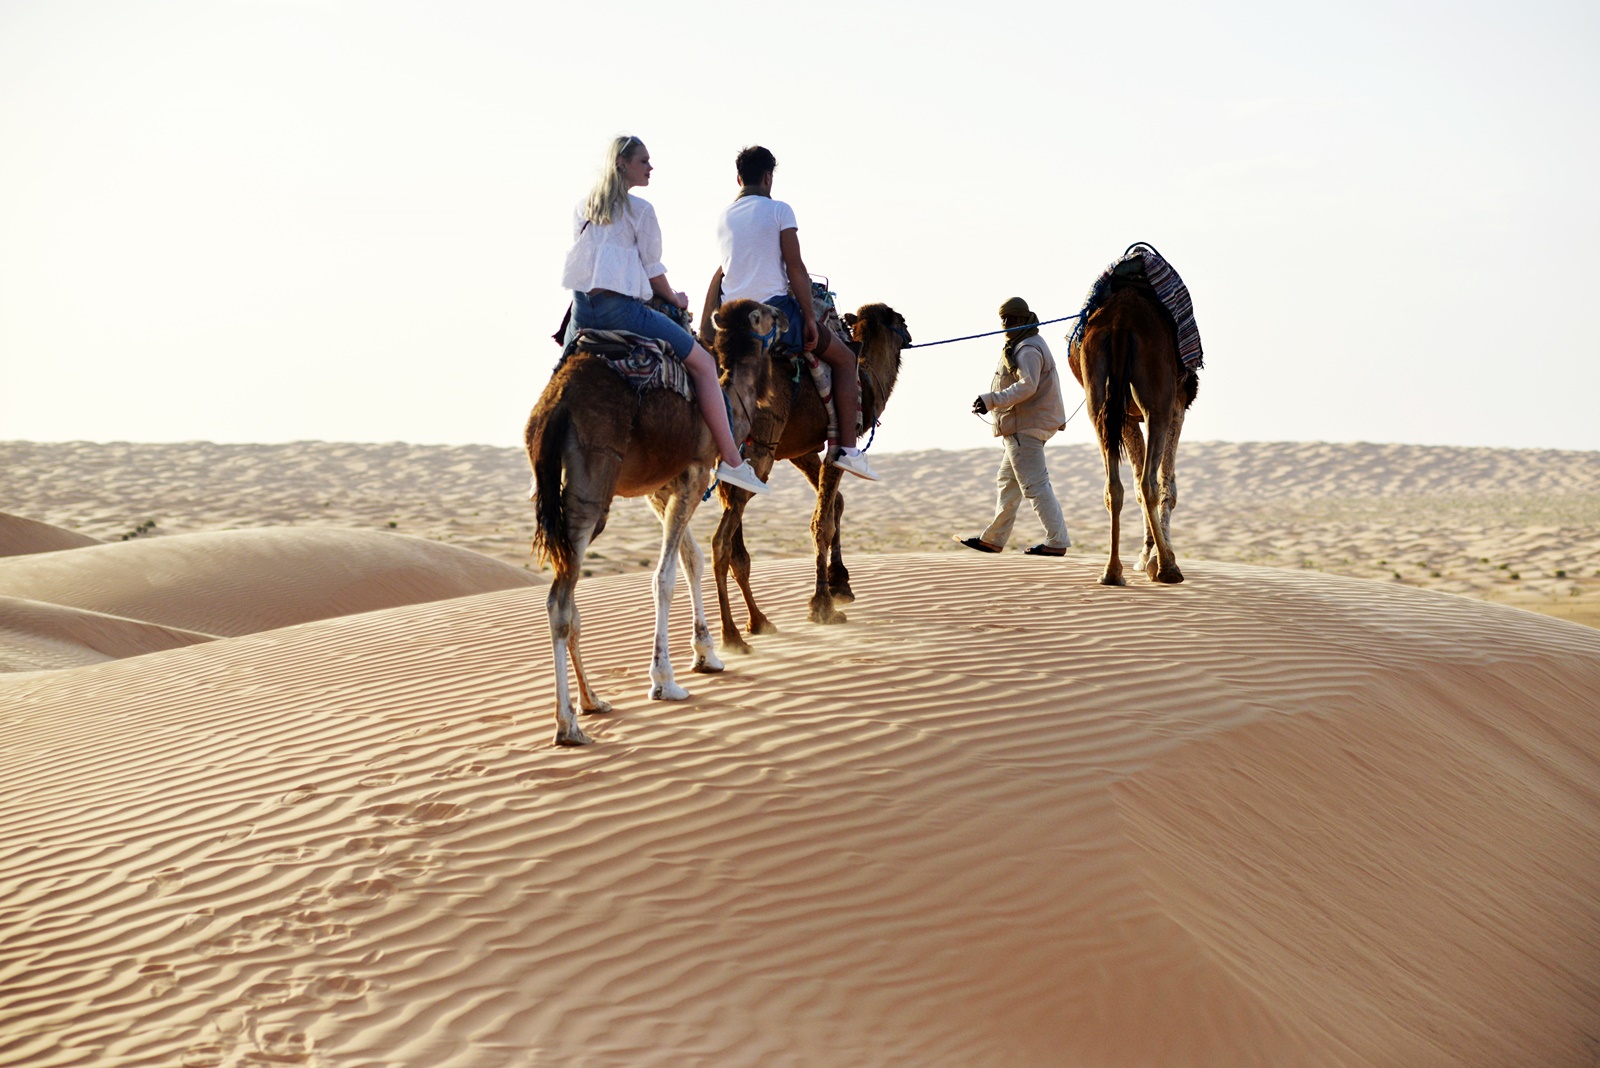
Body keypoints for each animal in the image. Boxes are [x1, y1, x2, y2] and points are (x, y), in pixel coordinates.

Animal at [524, 295, 780, 748]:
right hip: (592, 487)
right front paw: (665, 681)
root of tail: (553, 406)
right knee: (559, 600)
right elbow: (665, 576)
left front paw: (707, 655)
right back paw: (568, 725)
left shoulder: (661, 488)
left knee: (568, 598)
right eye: (764, 314)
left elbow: (692, 560)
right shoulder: (695, 473)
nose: (784, 317)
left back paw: (592, 702)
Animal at [707, 300, 908, 652]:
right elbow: (822, 522)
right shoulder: (838, 439)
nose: (909, 334)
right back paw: (732, 636)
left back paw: (757, 622)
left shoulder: (800, 450)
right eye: (901, 320)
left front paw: (840, 584)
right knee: (722, 541)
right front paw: (823, 607)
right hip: (758, 451)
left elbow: (836, 503)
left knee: (735, 547)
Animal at [1075, 279, 1203, 588]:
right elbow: (1167, 483)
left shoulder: (1126, 417)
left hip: (1098, 400)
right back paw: (1168, 568)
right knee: (1149, 483)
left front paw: (1146, 557)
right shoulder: (1177, 407)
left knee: (1115, 486)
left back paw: (1111, 572)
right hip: (1158, 400)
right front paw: (1155, 557)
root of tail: (1121, 321)